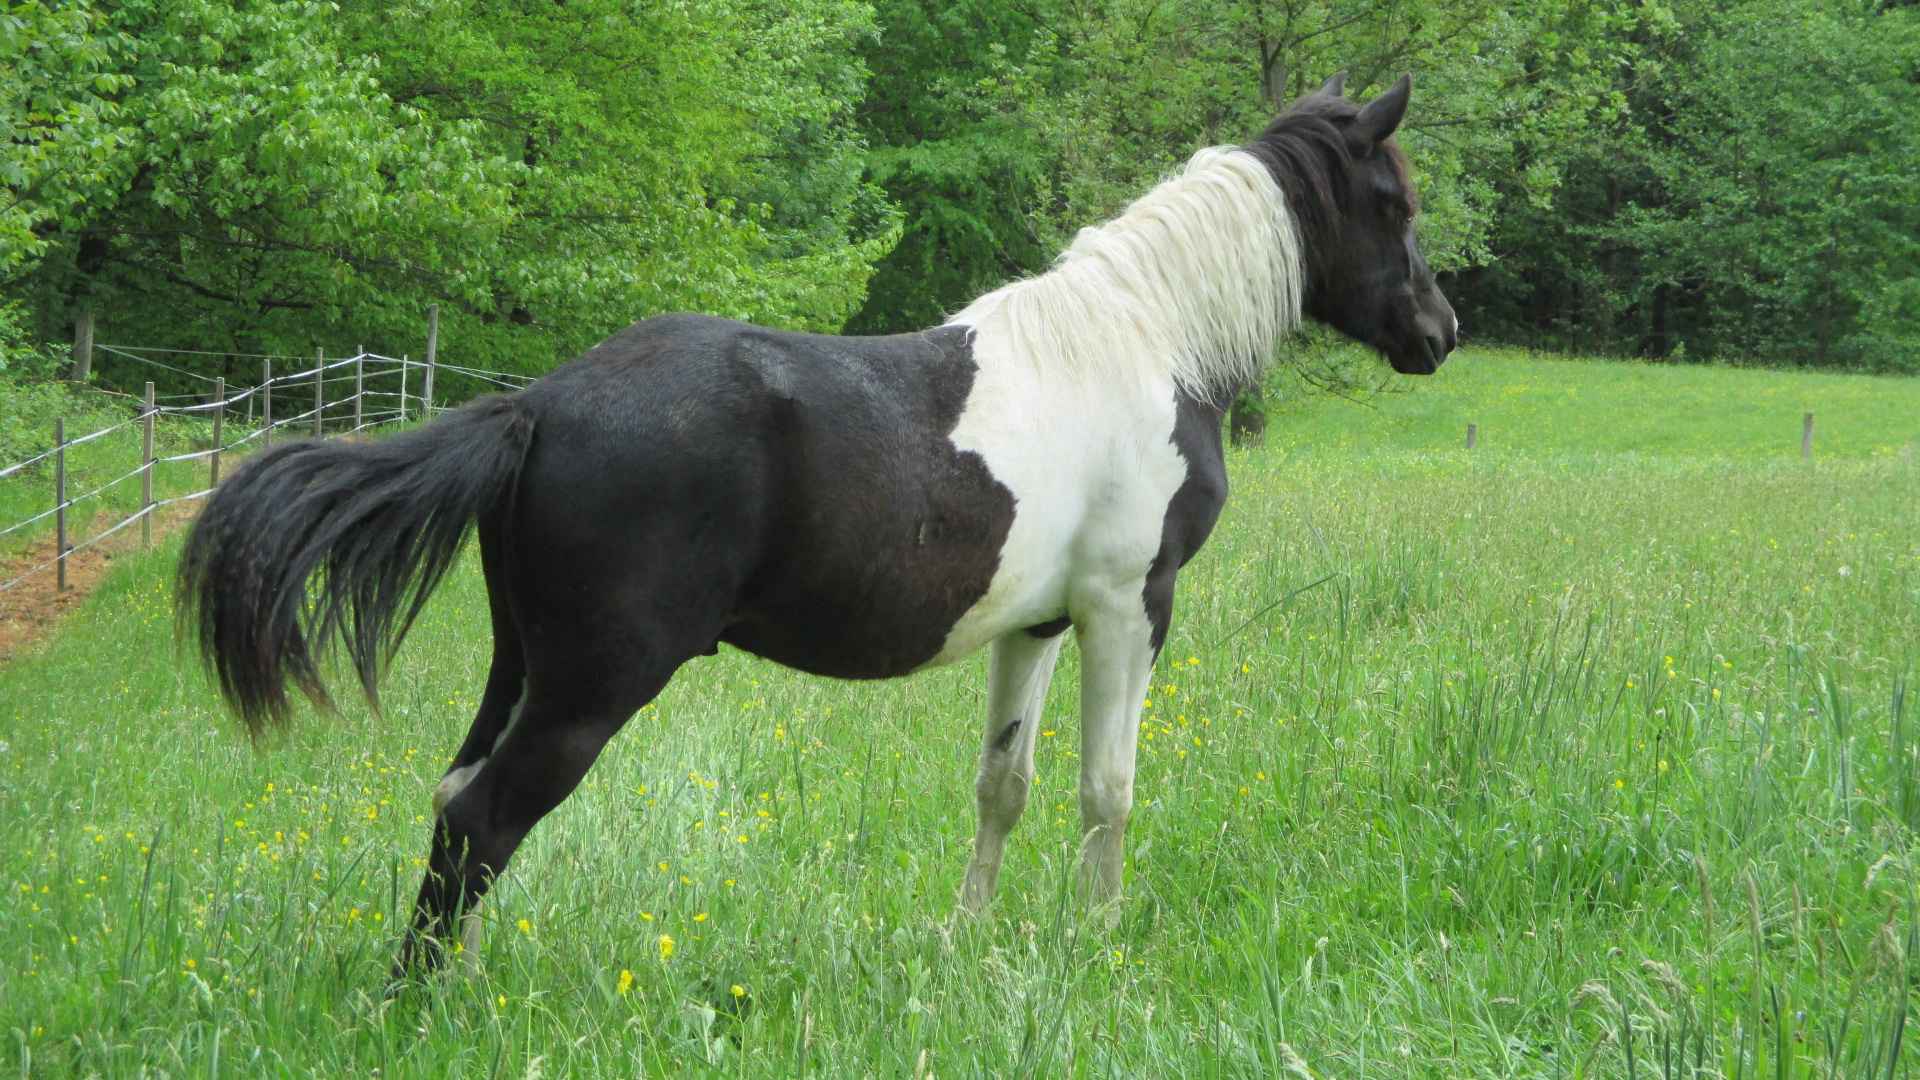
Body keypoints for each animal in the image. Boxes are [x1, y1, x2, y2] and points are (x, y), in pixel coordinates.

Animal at [180, 71, 1459, 972]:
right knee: (484, 821)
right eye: (1389, 201)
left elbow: (1004, 785)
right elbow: (1109, 790)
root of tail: (534, 407)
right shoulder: (1125, 610)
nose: (1439, 333)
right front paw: (1097, 950)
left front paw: (967, 942)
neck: (1147, 344)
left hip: (524, 666)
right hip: (593, 685)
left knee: (455, 802)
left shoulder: (1035, 625)